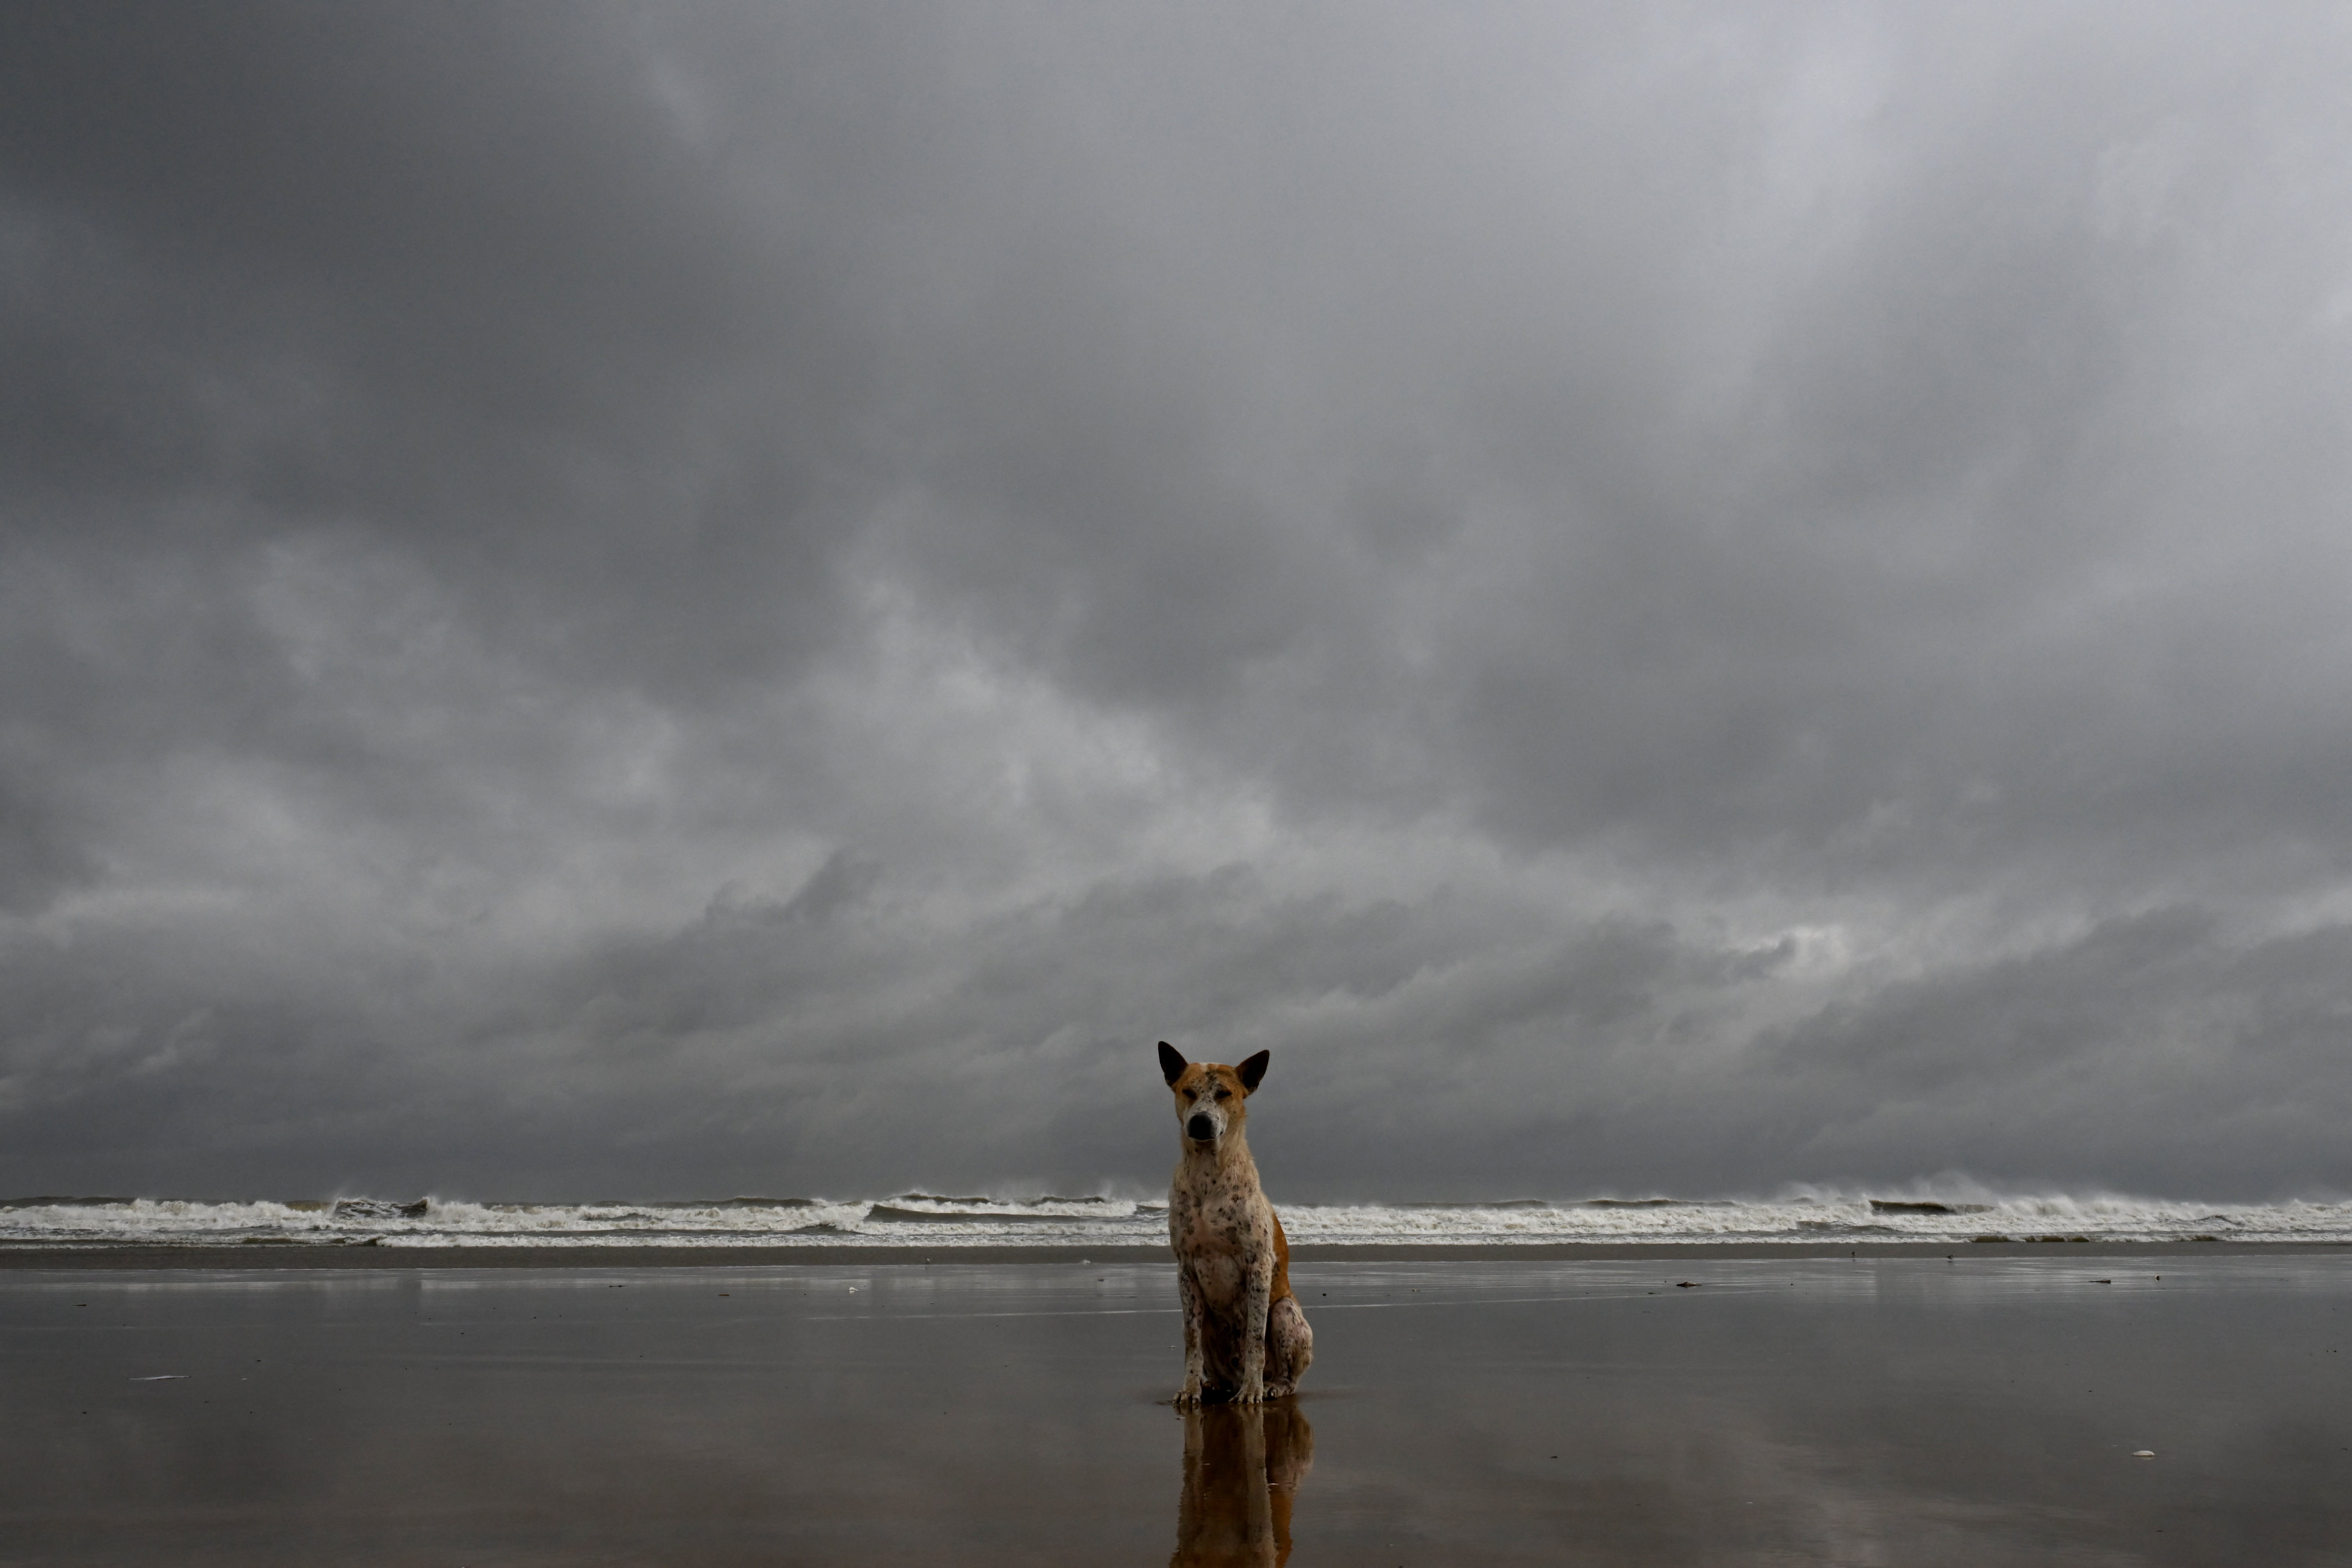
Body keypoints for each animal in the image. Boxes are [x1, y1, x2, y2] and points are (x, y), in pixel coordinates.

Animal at [1162, 1048, 1317, 1401]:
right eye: (1187, 1091)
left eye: (1224, 1093)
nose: (1200, 1121)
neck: (1207, 1171)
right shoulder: (1185, 1268)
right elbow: (1191, 1343)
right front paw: (1189, 1389)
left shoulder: (1258, 1264)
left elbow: (1255, 1339)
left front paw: (1252, 1390)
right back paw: (1214, 1384)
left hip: (1286, 1312)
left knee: (1287, 1374)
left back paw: (1270, 1385)